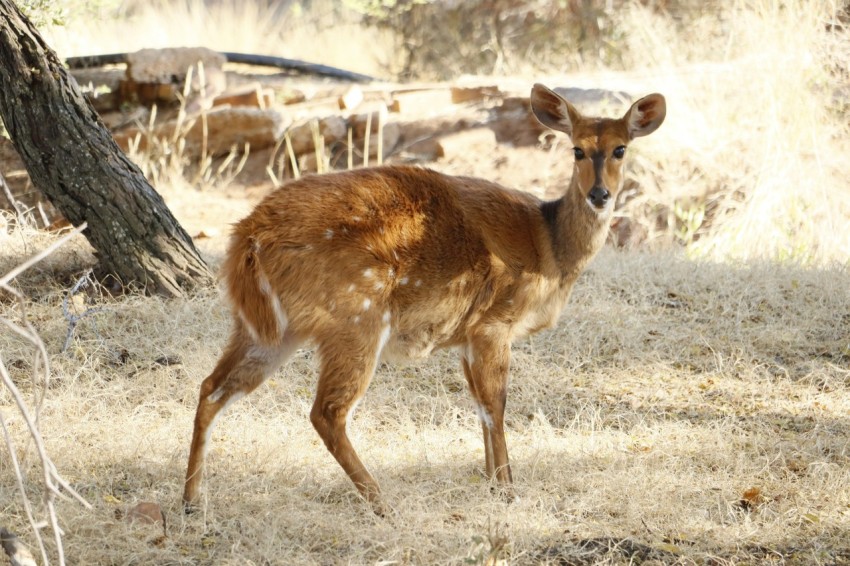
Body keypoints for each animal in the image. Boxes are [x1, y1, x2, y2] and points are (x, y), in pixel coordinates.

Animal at [184, 83, 664, 516]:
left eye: (620, 149)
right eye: (578, 150)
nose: (599, 195)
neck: (548, 245)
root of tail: (248, 237)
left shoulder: (466, 338)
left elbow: (479, 406)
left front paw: (490, 482)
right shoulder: (494, 325)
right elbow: (496, 405)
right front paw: (508, 490)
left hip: (268, 328)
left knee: (211, 387)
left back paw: (191, 500)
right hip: (358, 318)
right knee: (327, 411)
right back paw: (383, 503)